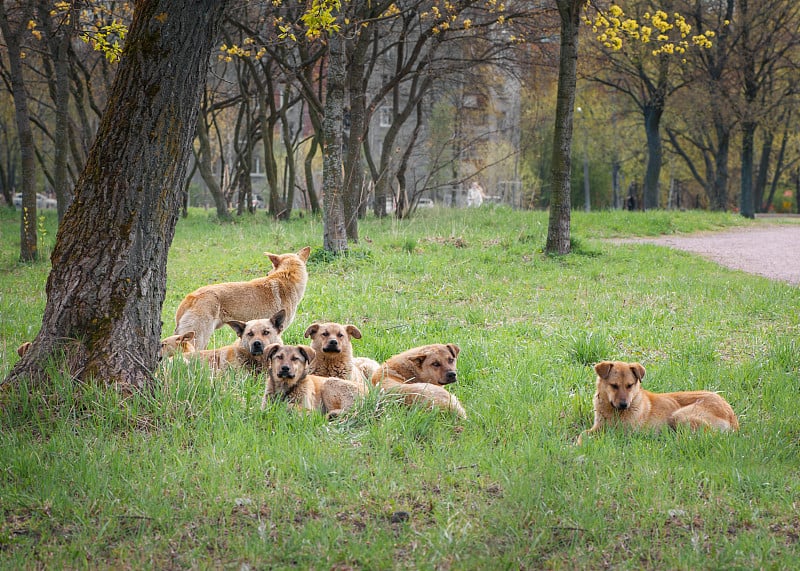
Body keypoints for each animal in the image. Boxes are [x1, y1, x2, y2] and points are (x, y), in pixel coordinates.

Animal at [580, 360, 740, 444]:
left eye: (630, 385)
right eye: (614, 385)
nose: (624, 405)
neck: (613, 411)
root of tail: (732, 417)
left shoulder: (623, 433)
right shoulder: (598, 426)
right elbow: (583, 434)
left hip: (680, 415)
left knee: (705, 436)